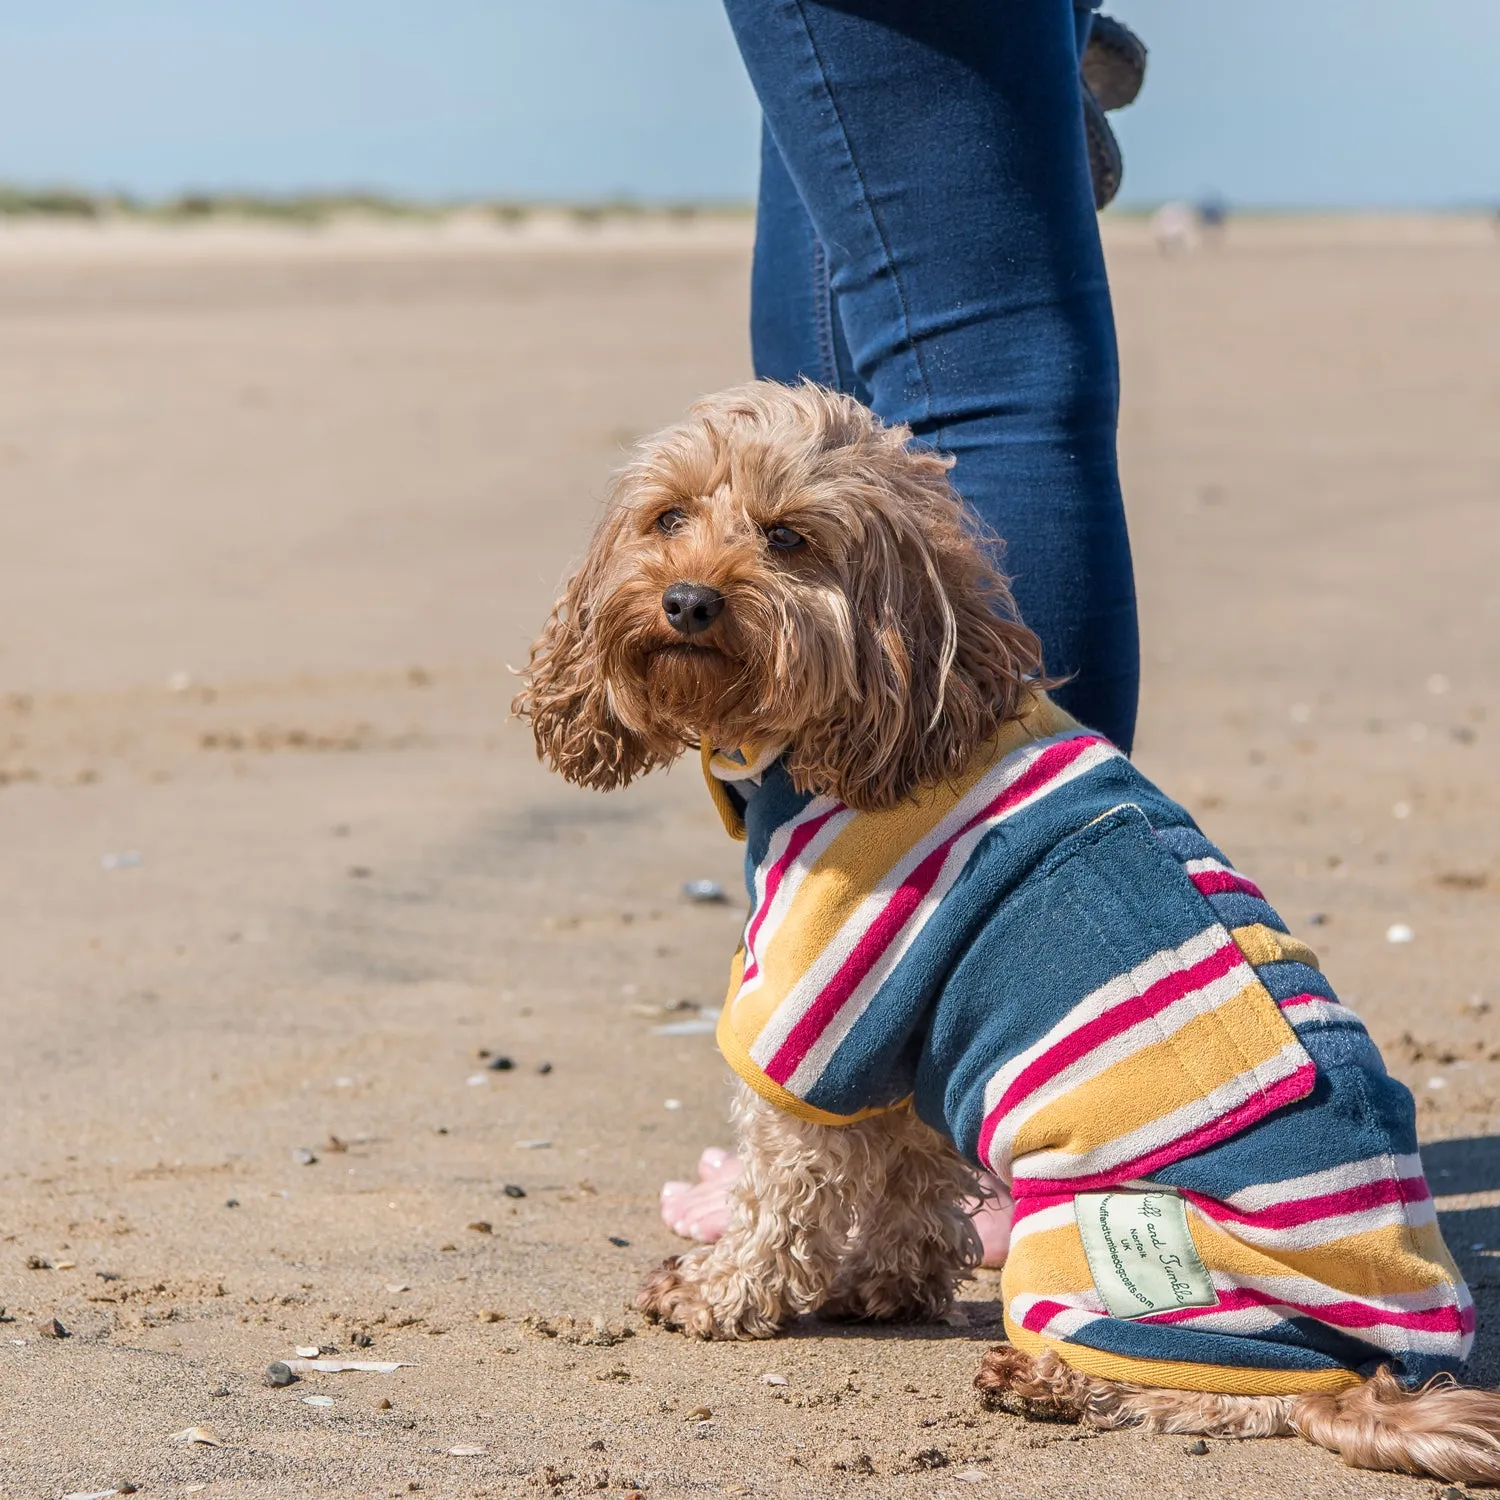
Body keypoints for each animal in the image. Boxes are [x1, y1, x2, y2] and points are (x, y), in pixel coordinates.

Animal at [516, 381, 1500, 1482]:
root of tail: (1376, 1371)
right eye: (668, 518)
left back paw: (1046, 1380)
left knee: (1224, 1398)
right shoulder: (911, 1047)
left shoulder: (817, 1010)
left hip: (1093, 1241)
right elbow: (908, 1172)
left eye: (787, 537)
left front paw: (717, 1289)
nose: (687, 600)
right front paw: (888, 1283)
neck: (889, 713)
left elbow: (783, 1184)